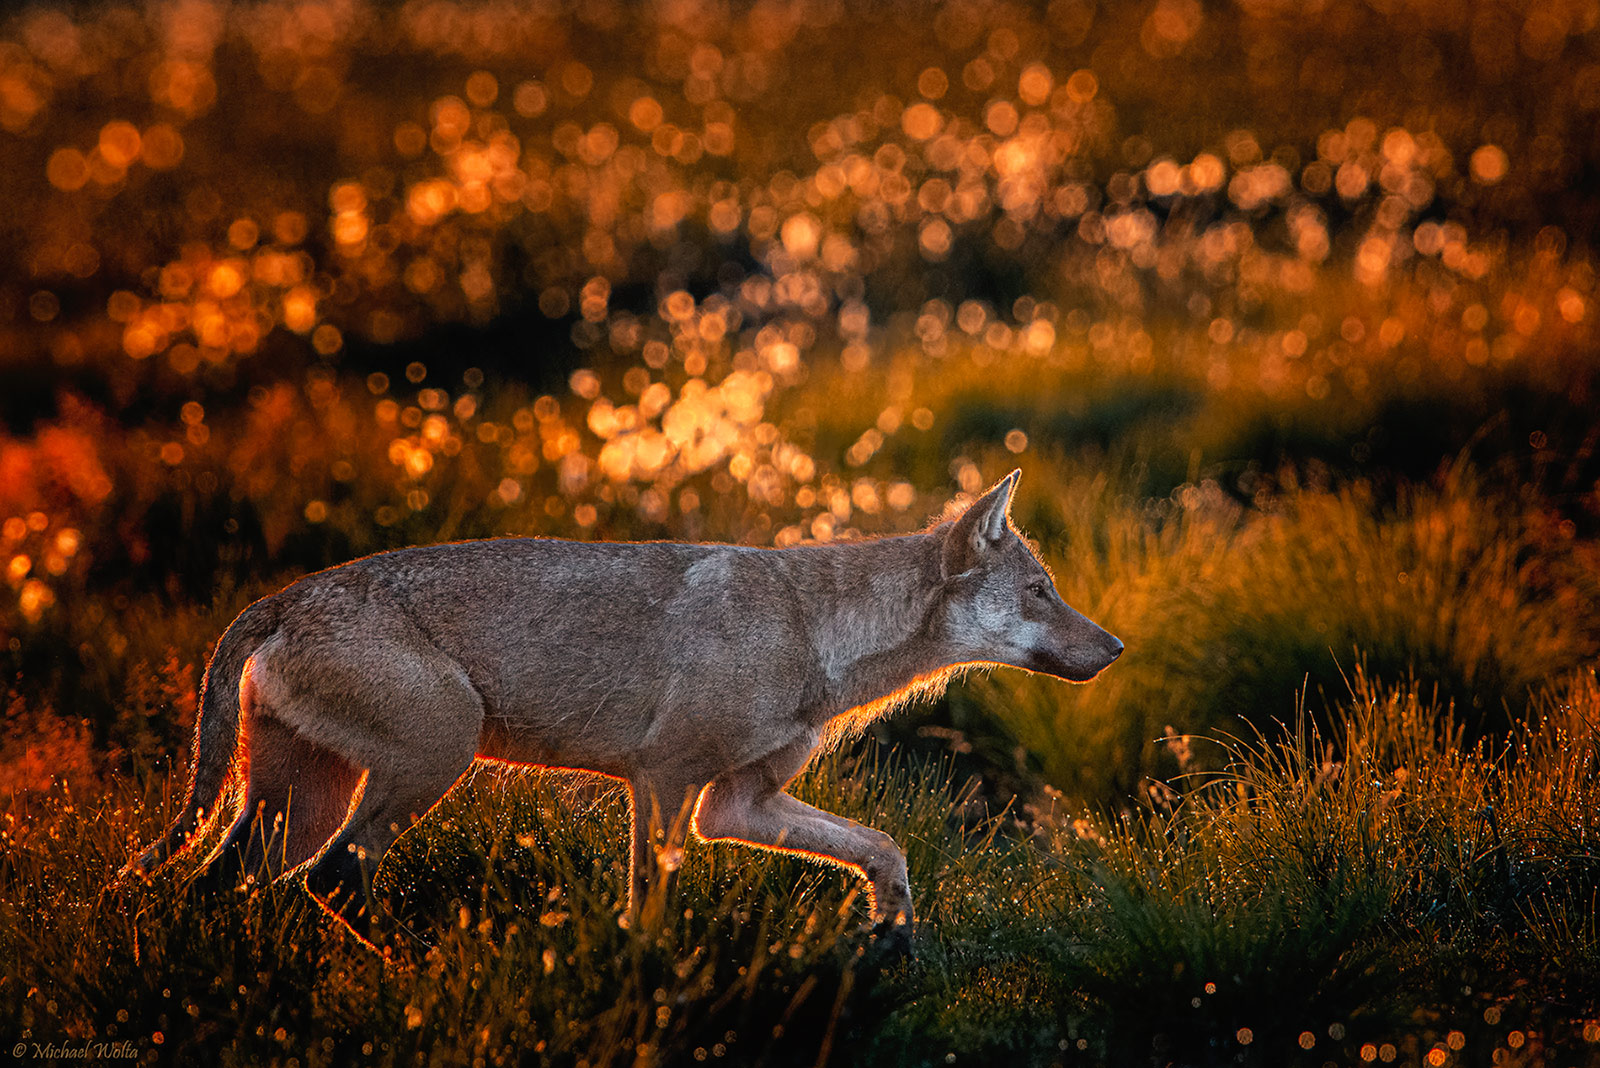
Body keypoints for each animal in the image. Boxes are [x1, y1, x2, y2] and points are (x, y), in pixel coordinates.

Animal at [124, 470, 1120, 952]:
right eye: (1042, 591)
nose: (1115, 649)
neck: (815, 632)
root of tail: (280, 598)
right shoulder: (665, 783)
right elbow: (647, 912)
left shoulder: (735, 805)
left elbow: (884, 849)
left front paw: (893, 935)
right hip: (428, 763)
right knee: (330, 882)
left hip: (297, 808)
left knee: (217, 884)